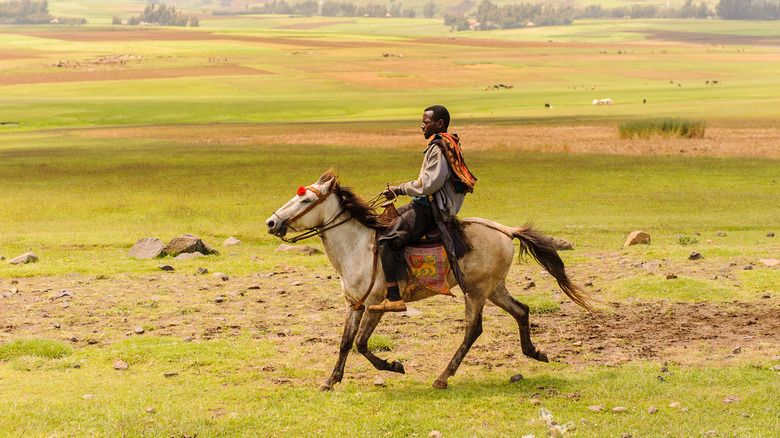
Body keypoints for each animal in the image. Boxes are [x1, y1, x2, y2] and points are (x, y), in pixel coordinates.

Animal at [266, 170, 596, 390]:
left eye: (306, 199)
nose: (271, 222)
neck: (358, 246)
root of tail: (505, 230)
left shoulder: (375, 304)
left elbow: (361, 343)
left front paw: (394, 366)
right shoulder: (354, 304)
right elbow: (346, 342)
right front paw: (331, 380)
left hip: (476, 292)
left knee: (473, 330)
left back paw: (442, 378)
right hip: (494, 289)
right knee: (521, 311)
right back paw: (535, 353)